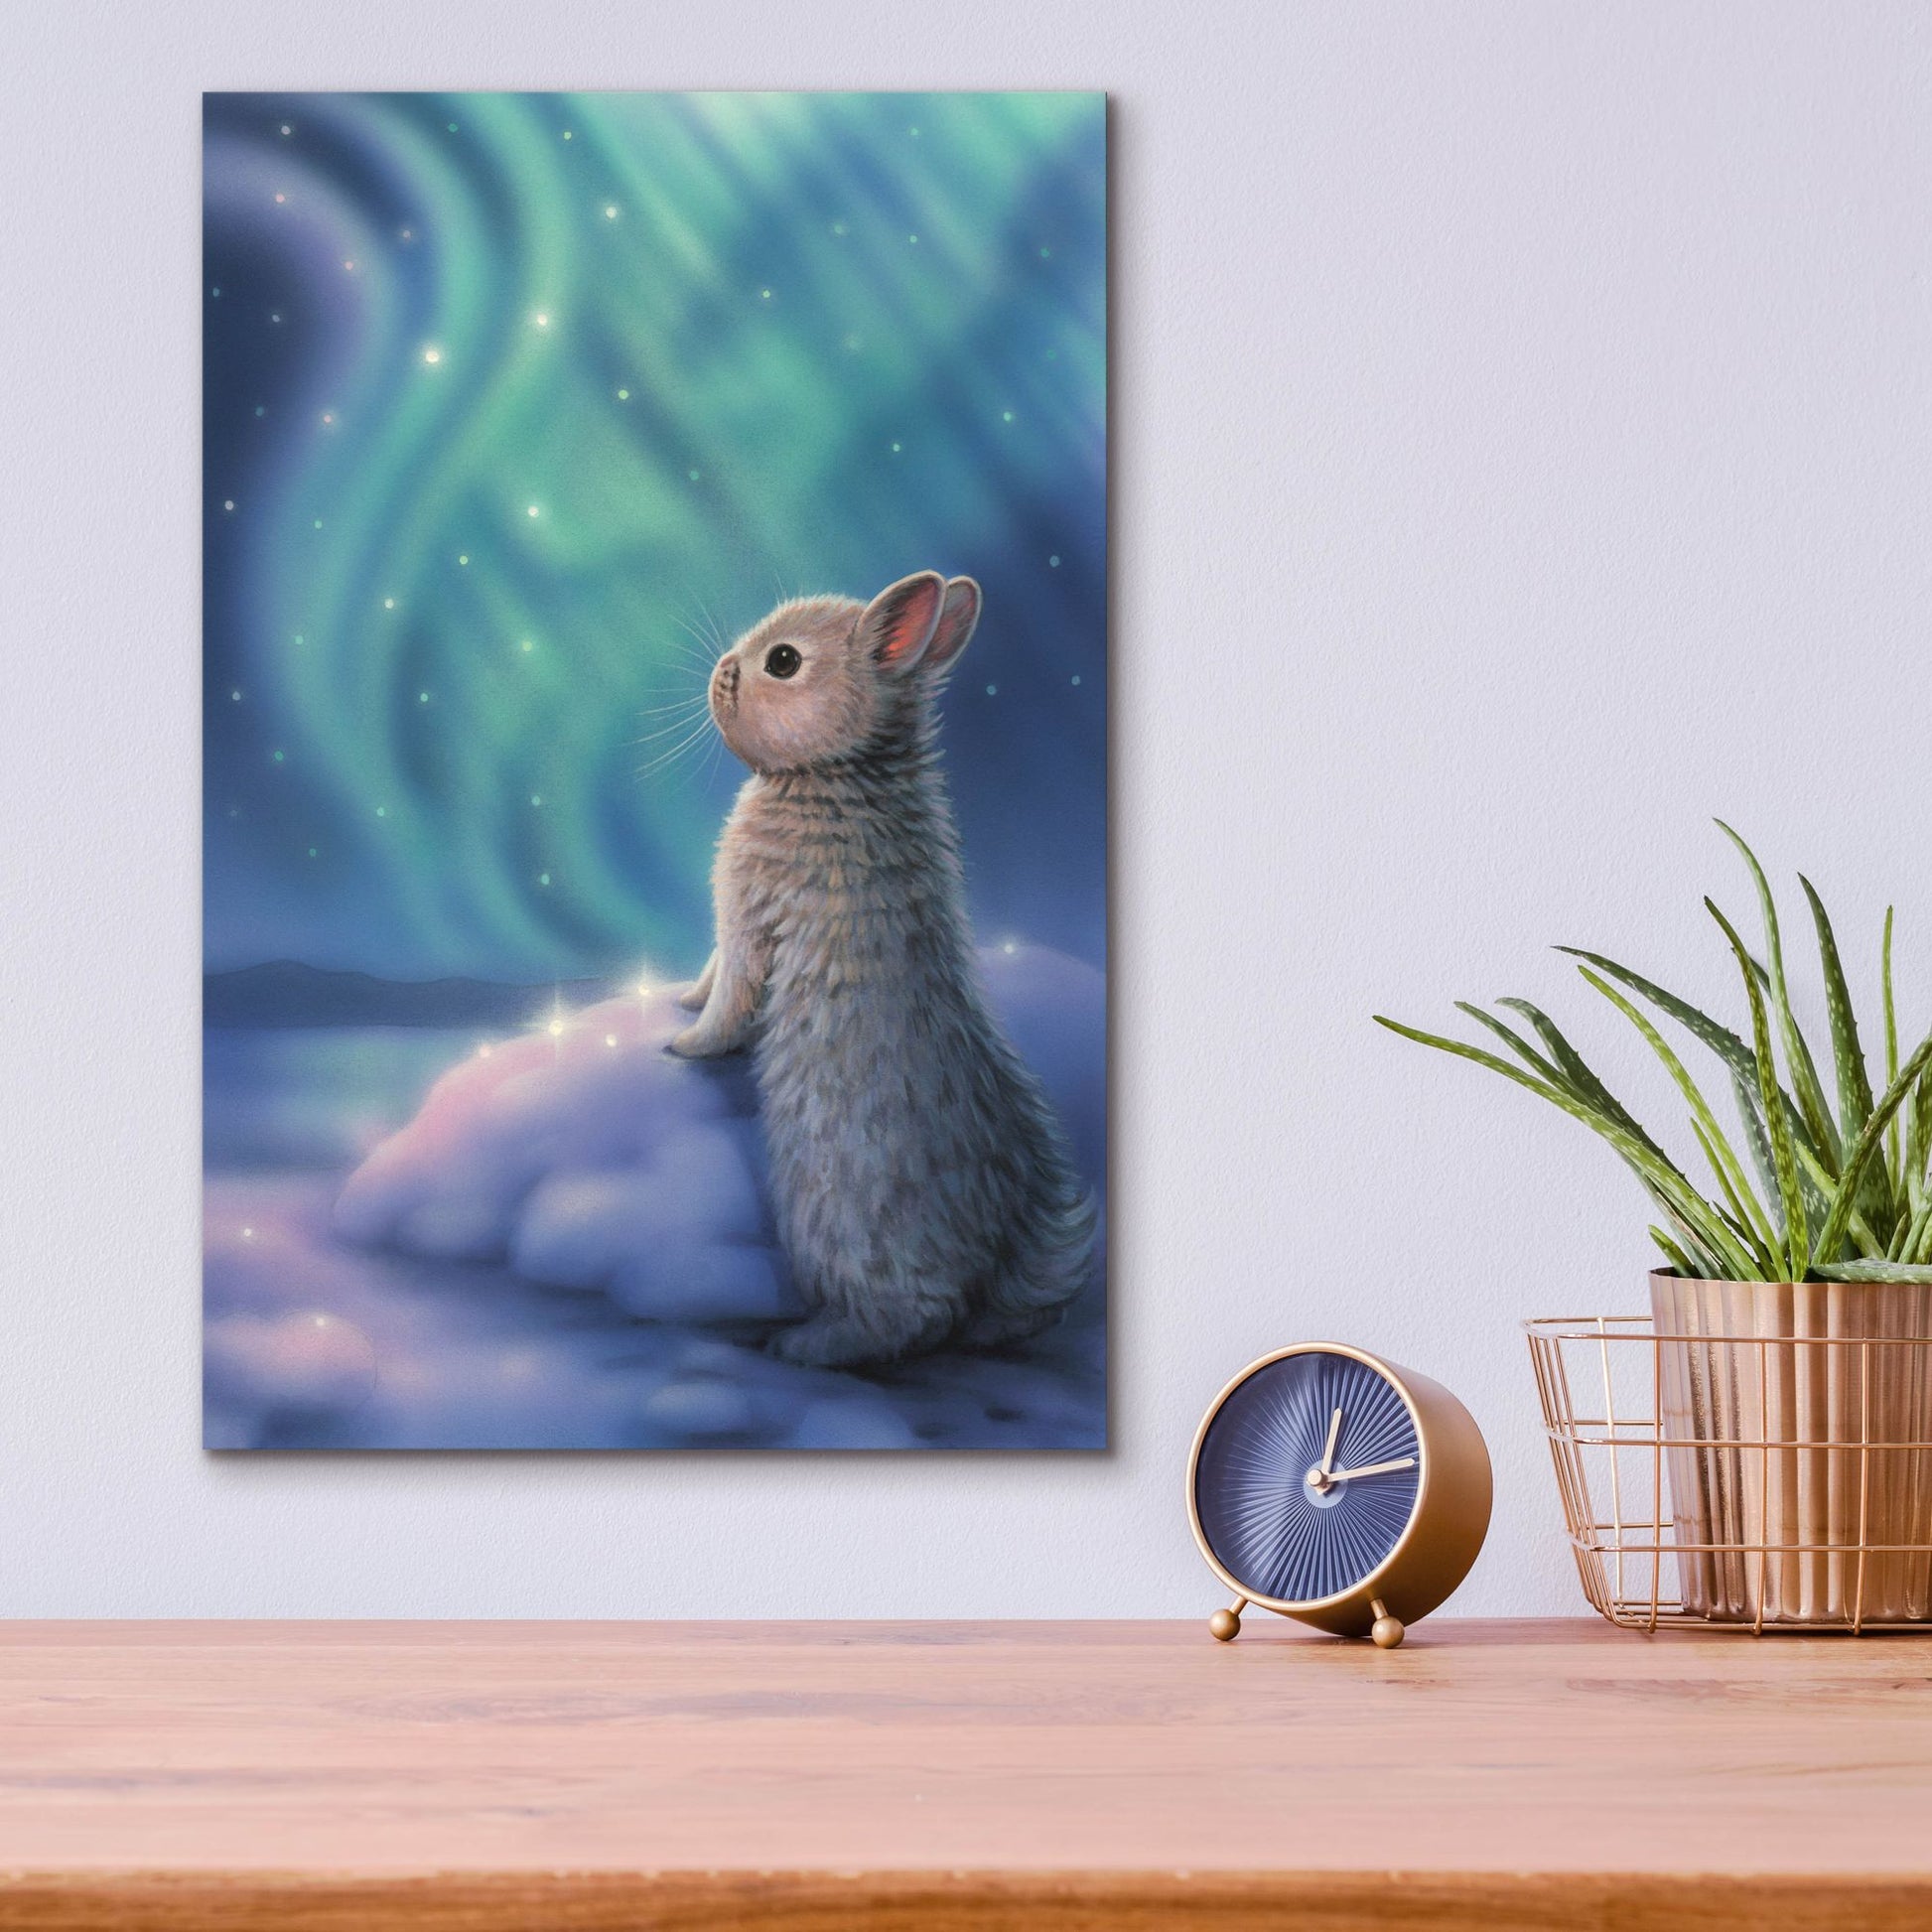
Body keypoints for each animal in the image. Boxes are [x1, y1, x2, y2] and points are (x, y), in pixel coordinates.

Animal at [666, 570, 1095, 1369]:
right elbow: (710, 978)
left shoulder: (748, 918)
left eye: (782, 662)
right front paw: (679, 1001)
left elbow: (730, 995)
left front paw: (683, 1043)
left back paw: (804, 1346)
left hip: (837, 1220)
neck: (837, 767)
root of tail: (995, 1269)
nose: (721, 670)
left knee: (910, 1320)